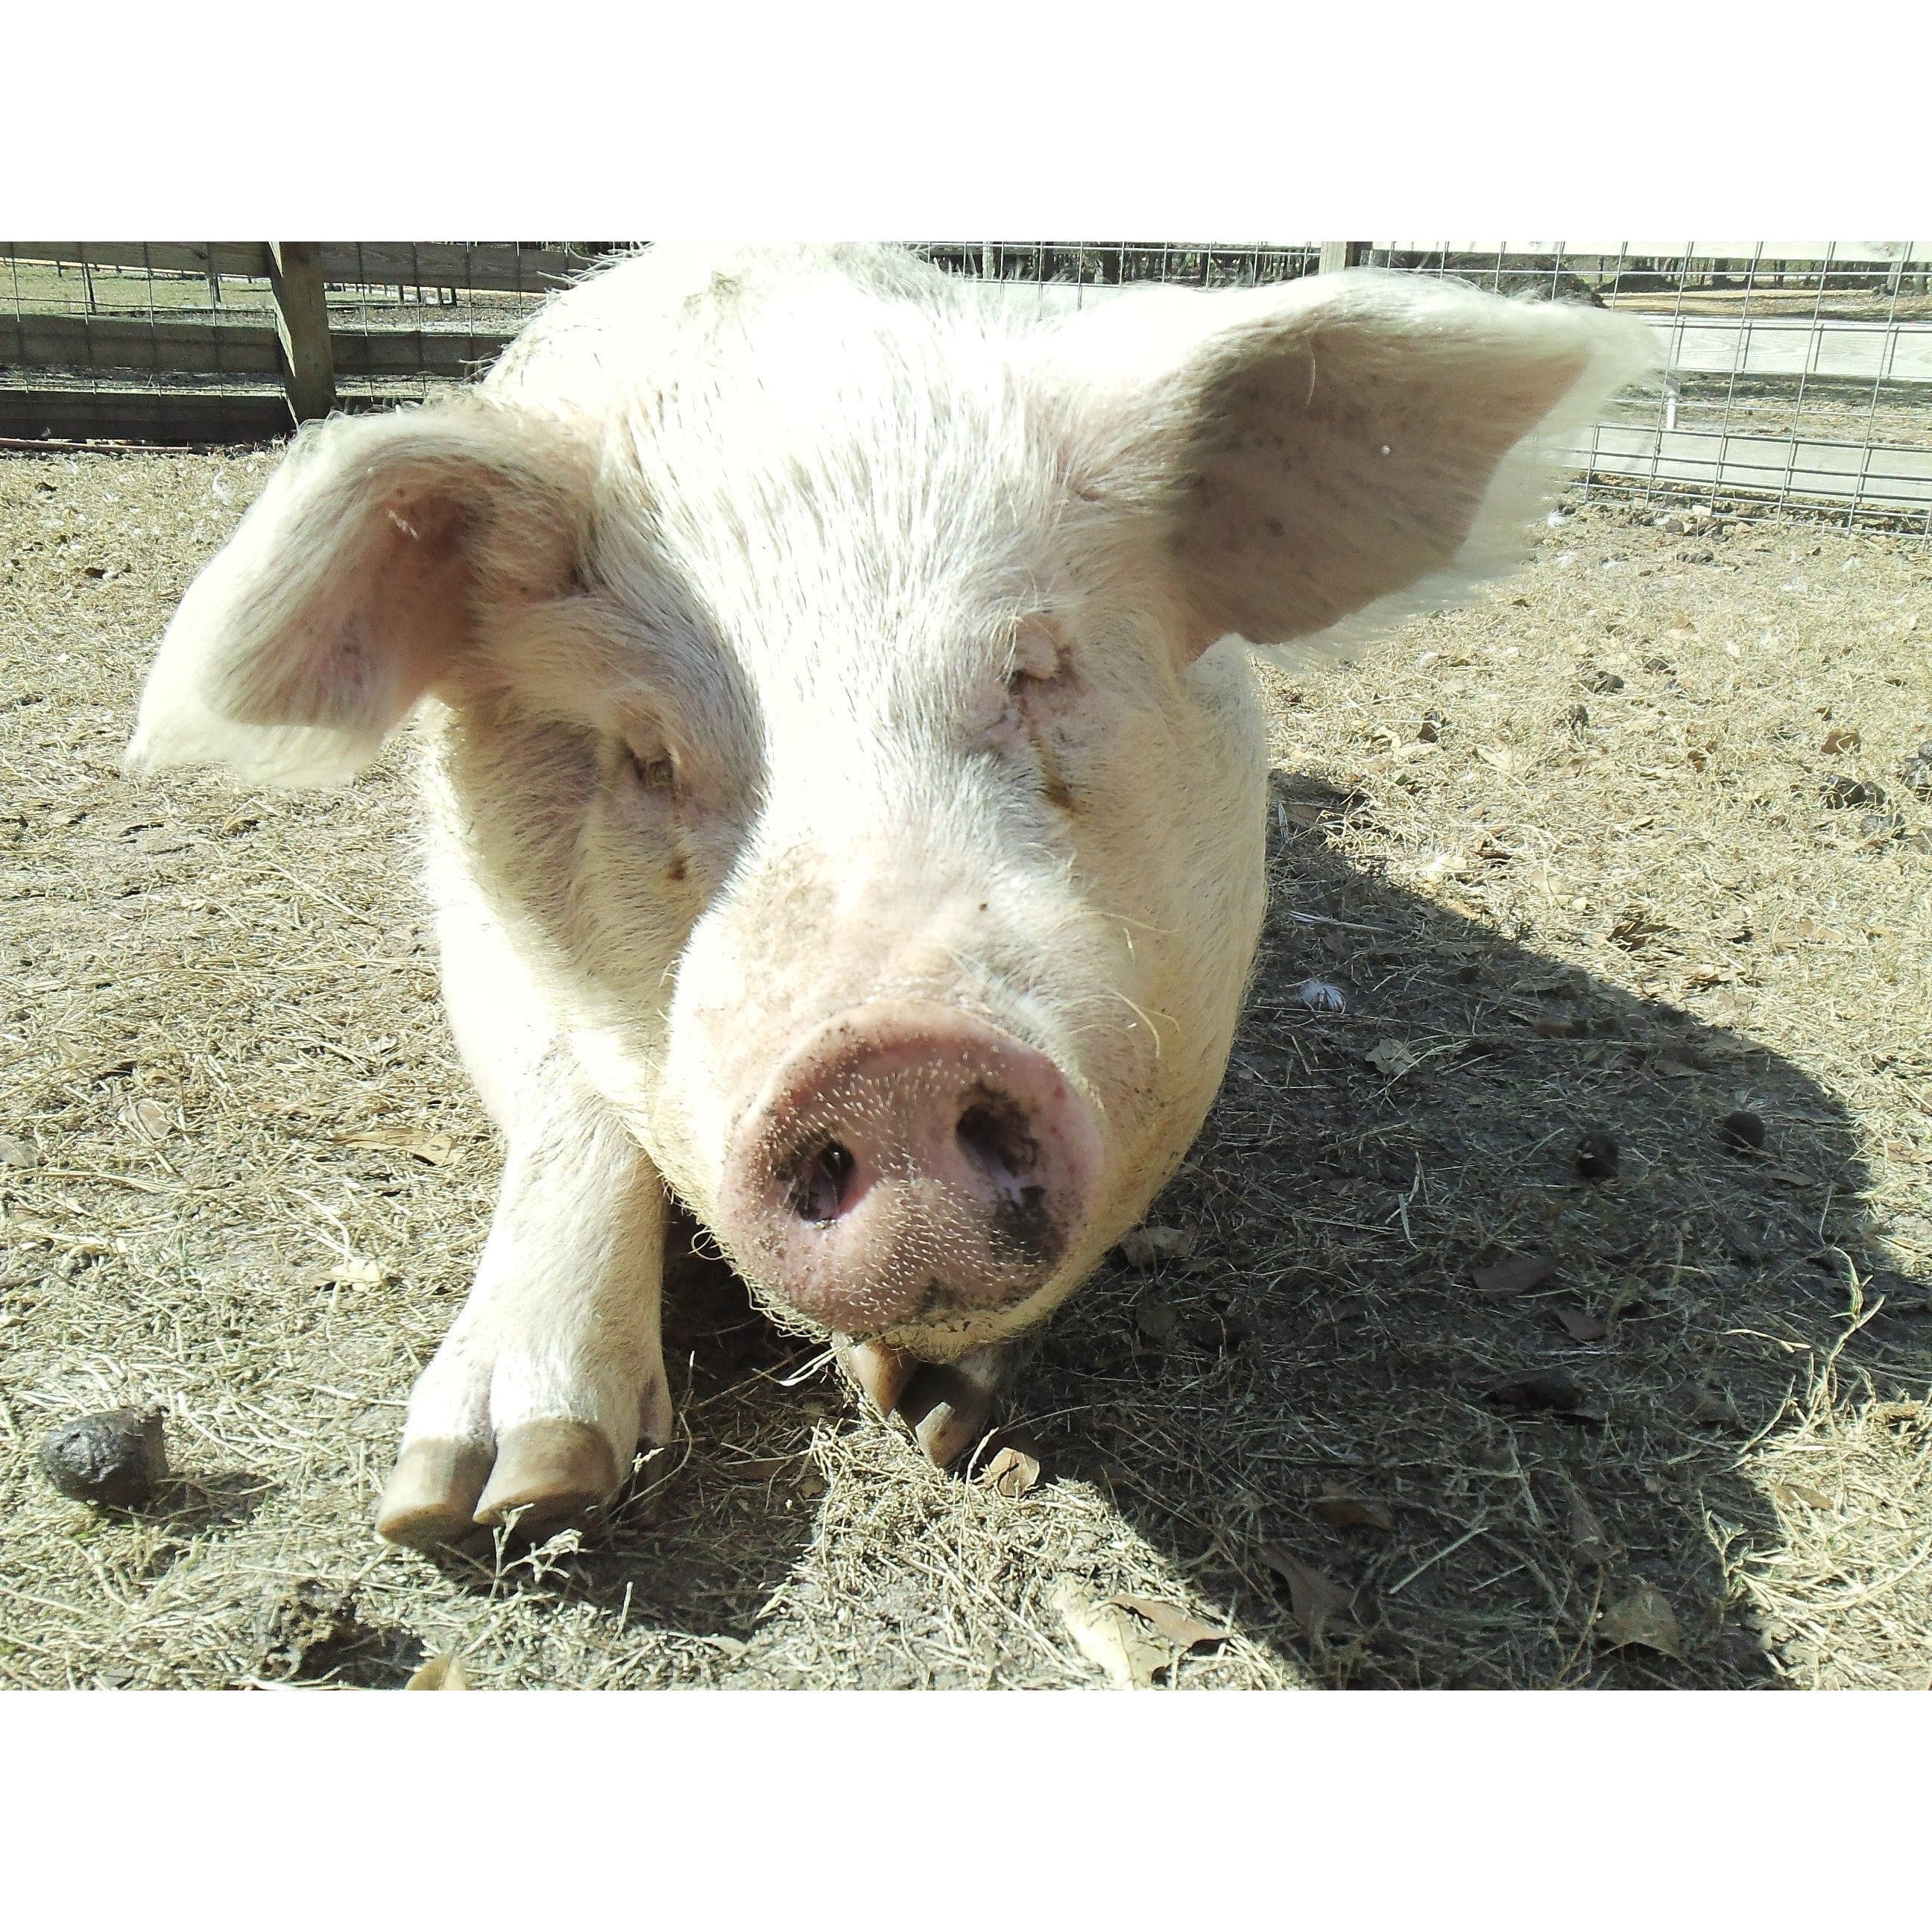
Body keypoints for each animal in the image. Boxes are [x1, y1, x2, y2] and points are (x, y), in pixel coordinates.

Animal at [126, 244, 1654, 1548]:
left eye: (1037, 667)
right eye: (643, 750)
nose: (891, 1061)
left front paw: (936, 1416)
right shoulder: (468, 913)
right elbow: (569, 1105)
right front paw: (487, 1502)